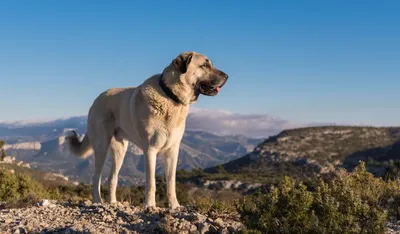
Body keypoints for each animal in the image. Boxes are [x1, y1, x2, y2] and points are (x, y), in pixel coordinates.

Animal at [65, 50, 228, 208]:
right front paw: (150, 206)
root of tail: (97, 98)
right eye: (204, 65)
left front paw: (174, 206)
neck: (171, 97)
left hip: (120, 150)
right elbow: (151, 183)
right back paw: (98, 201)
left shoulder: (172, 152)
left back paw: (113, 203)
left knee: (112, 178)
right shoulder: (150, 150)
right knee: (96, 177)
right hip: (101, 147)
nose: (227, 77)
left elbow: (171, 183)